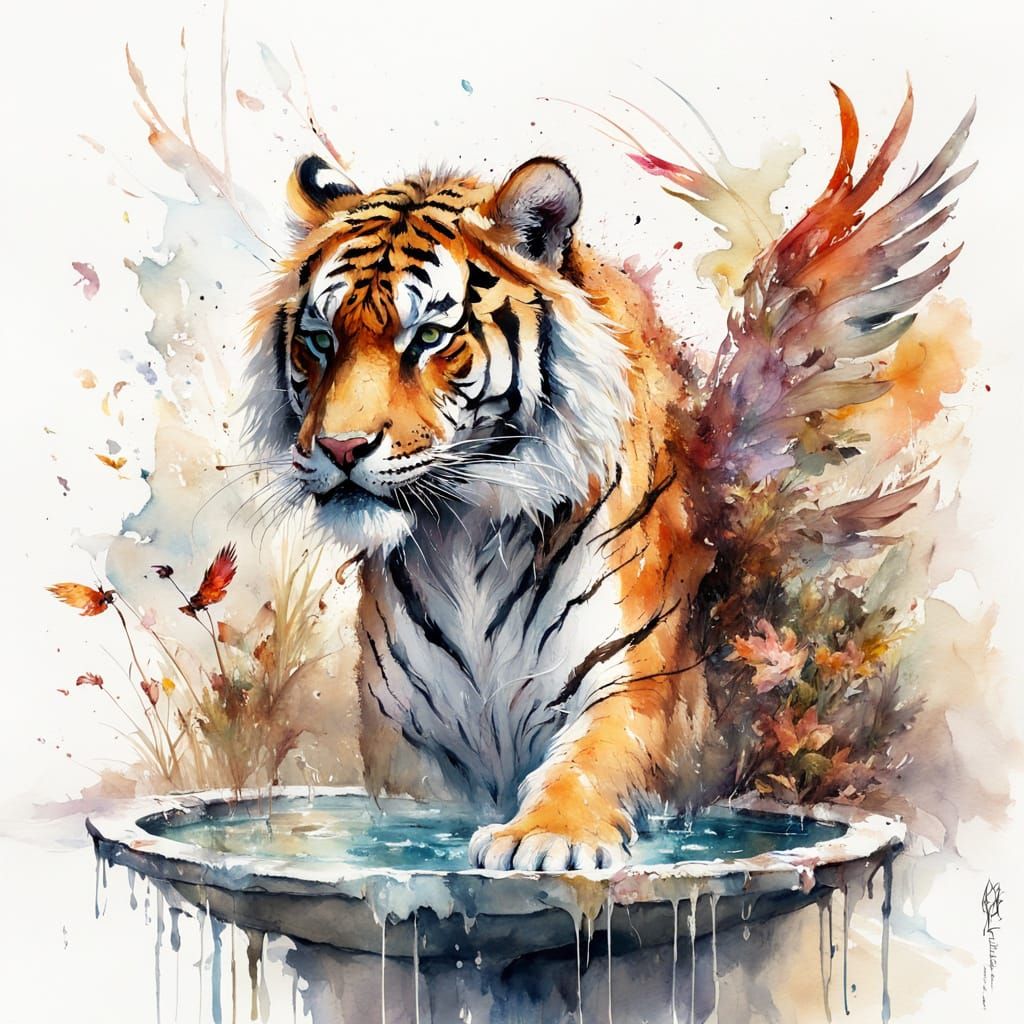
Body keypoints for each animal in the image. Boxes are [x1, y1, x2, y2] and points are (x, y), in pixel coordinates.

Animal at [246, 154, 726, 870]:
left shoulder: (631, 679)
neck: (465, 533)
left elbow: (586, 762)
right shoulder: (407, 744)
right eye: (321, 340)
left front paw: (548, 835)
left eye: (429, 337)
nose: (340, 447)